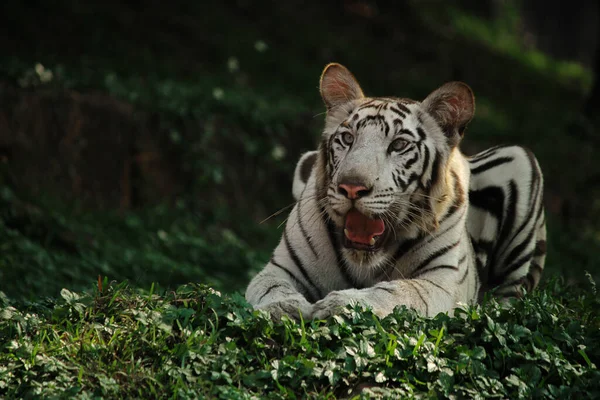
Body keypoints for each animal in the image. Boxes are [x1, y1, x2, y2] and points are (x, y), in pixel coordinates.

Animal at [246, 64, 548, 320]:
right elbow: (272, 289)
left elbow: (397, 292)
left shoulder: (442, 281)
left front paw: (342, 304)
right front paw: (282, 308)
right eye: (347, 138)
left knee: (509, 297)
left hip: (521, 159)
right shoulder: (281, 269)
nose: (351, 187)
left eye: (399, 145)